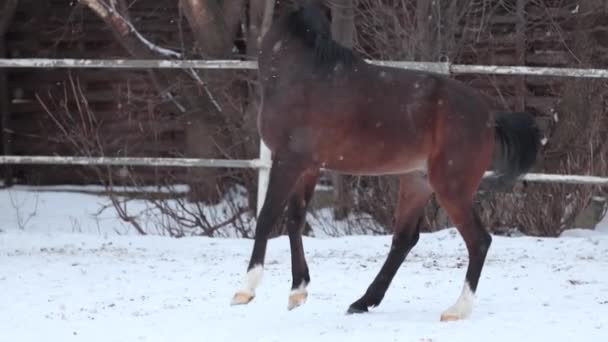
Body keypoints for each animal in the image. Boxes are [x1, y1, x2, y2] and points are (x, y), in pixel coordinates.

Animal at [230, 0, 540, 320]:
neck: (299, 71)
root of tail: (490, 117)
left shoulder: (288, 160)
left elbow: (267, 217)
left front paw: (245, 290)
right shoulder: (309, 167)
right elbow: (295, 220)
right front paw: (298, 291)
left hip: (451, 188)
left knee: (478, 241)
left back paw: (456, 309)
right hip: (417, 182)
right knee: (404, 240)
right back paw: (362, 301)